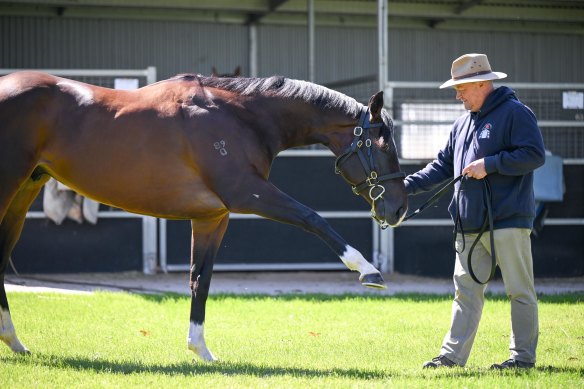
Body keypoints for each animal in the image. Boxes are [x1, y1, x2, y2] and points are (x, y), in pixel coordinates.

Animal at [0, 70, 408, 360]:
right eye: (382, 143)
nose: (400, 208)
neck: (238, 117)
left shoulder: (212, 217)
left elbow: (201, 279)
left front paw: (200, 350)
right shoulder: (247, 193)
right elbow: (313, 218)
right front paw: (367, 270)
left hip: (24, 191)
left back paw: (15, 342)